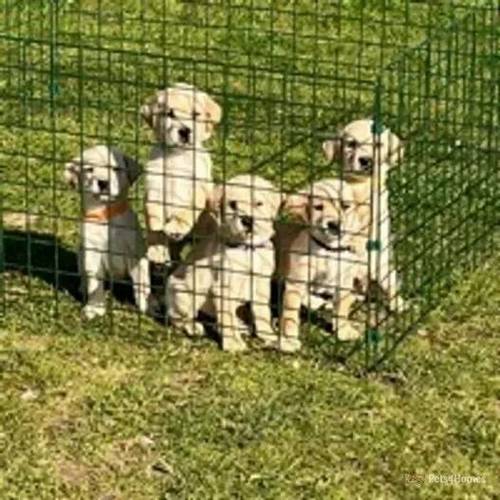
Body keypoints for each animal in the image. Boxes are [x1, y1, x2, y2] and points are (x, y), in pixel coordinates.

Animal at [64, 145, 150, 318]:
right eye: (89, 169)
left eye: (115, 169)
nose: (103, 182)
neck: (106, 214)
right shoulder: (92, 253)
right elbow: (95, 282)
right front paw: (94, 307)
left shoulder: (135, 254)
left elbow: (140, 281)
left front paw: (145, 306)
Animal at [140, 83, 220, 266]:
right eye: (170, 114)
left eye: (195, 114)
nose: (185, 131)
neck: (177, 156)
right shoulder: (155, 184)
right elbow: (152, 214)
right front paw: (156, 238)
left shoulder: (198, 186)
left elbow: (187, 209)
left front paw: (177, 227)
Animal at [168, 175, 282, 352]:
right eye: (233, 204)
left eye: (259, 203)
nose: (247, 220)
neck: (246, 248)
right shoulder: (223, 287)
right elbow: (227, 317)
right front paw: (233, 343)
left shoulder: (261, 285)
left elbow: (263, 313)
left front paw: (270, 336)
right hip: (185, 292)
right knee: (177, 318)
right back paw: (193, 327)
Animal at [278, 179, 364, 352]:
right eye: (318, 207)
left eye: (345, 206)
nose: (334, 224)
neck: (329, 249)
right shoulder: (296, 283)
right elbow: (290, 315)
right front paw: (288, 340)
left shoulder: (344, 282)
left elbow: (342, 308)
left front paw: (343, 330)